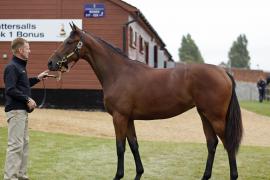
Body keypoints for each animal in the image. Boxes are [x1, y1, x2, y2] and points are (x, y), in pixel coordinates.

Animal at [47, 23, 243, 179]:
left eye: (69, 42)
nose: (51, 63)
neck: (118, 73)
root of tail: (224, 72)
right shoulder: (129, 118)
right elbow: (134, 145)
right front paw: (138, 173)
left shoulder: (119, 117)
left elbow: (120, 147)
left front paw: (118, 175)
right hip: (204, 115)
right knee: (212, 143)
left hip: (215, 117)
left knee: (228, 143)